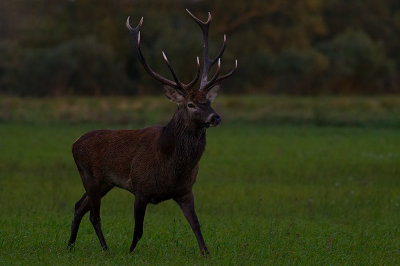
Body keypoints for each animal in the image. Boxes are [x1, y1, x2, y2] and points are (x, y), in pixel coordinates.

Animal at [67, 9, 238, 256]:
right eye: (190, 104)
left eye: (208, 101)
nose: (215, 117)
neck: (171, 167)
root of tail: (75, 142)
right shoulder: (141, 188)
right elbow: (138, 230)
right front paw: (129, 253)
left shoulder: (185, 191)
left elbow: (196, 224)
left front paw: (206, 252)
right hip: (88, 175)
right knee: (93, 214)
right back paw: (105, 248)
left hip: (106, 182)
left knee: (79, 206)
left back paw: (70, 245)